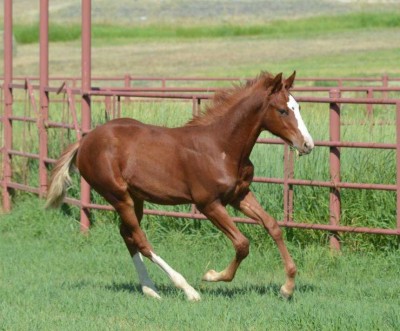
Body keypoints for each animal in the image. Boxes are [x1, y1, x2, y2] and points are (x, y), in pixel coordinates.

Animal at [46, 71, 312, 302]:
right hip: (118, 196)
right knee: (141, 240)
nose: (308, 144)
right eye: (282, 110)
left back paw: (150, 289)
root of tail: (84, 141)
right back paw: (187, 290)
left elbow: (272, 226)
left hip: (136, 197)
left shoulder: (239, 195)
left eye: (298, 107)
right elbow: (242, 244)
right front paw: (212, 276)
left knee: (127, 235)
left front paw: (287, 287)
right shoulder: (208, 204)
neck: (222, 146)